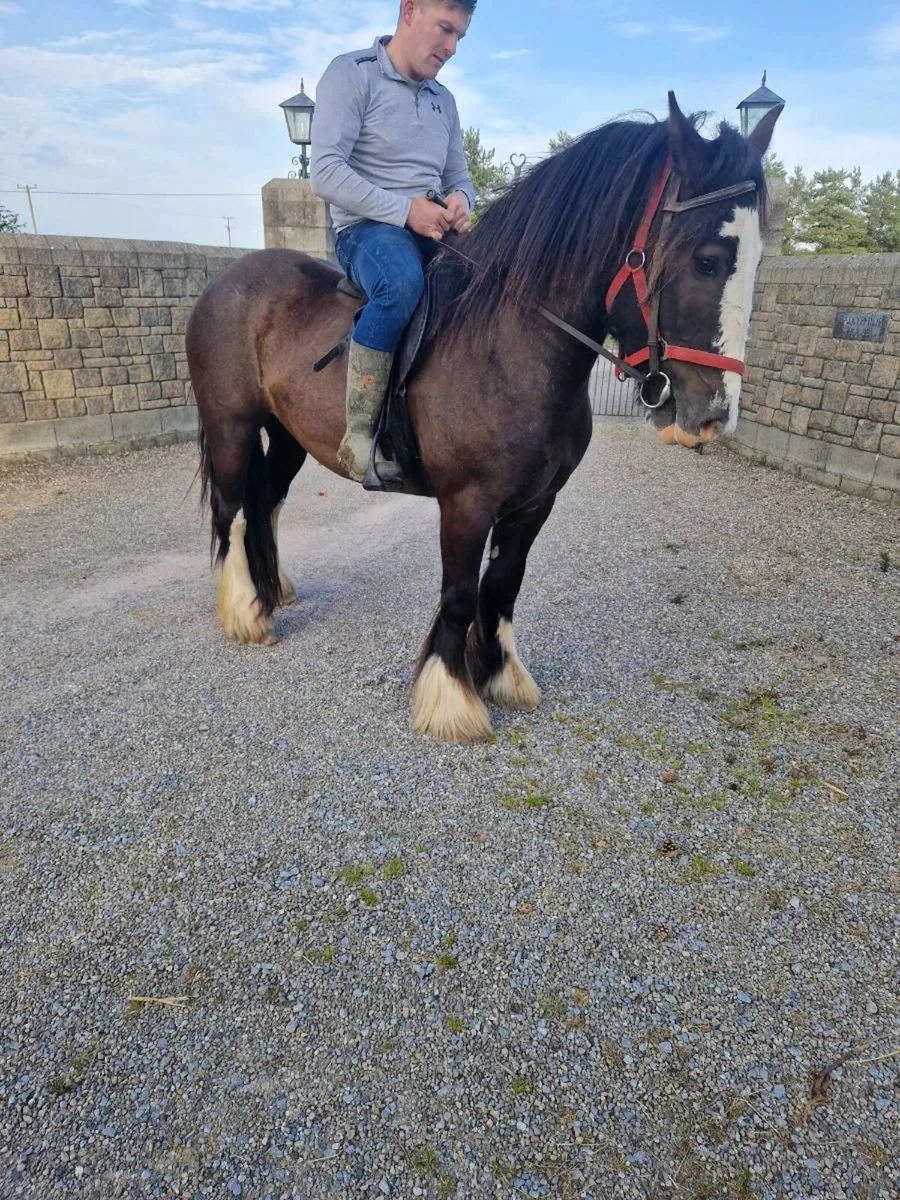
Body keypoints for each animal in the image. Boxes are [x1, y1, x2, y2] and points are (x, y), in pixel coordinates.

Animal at [186, 94, 782, 744]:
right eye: (707, 261)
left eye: (757, 260)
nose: (714, 413)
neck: (509, 346)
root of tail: (228, 281)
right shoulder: (467, 503)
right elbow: (459, 595)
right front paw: (451, 699)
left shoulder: (535, 502)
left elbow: (502, 587)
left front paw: (500, 675)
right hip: (232, 426)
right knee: (234, 508)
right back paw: (246, 610)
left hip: (289, 435)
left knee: (265, 501)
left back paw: (272, 590)